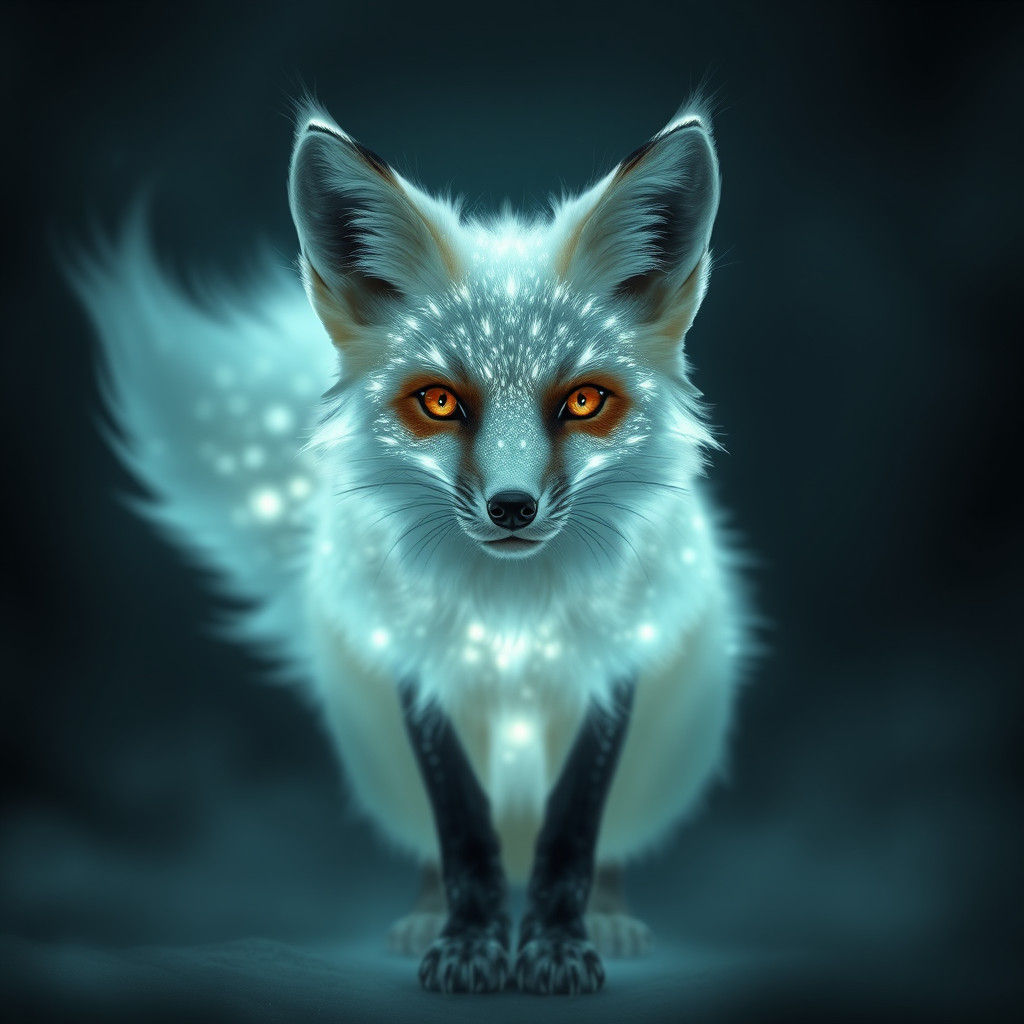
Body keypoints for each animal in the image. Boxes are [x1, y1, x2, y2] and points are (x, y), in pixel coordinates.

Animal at [71, 97, 752, 995]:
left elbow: (572, 832)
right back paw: (431, 914)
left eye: (583, 401)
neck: (512, 621)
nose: (511, 508)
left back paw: (607, 917)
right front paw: (467, 942)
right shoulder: (417, 665)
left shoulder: (614, 661)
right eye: (438, 401)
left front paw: (558, 946)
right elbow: (462, 830)